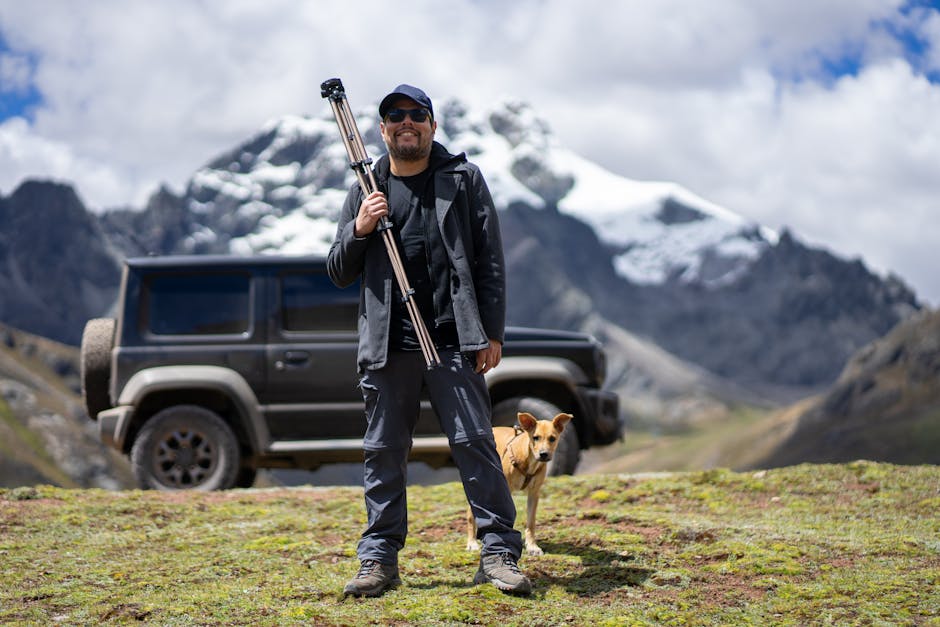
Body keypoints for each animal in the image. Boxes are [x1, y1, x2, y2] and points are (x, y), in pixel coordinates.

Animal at [464, 414, 568, 556]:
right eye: (535, 437)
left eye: (552, 438)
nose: (543, 454)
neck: (529, 460)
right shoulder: (504, 491)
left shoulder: (534, 493)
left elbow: (531, 522)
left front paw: (532, 546)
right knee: (470, 514)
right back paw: (472, 542)